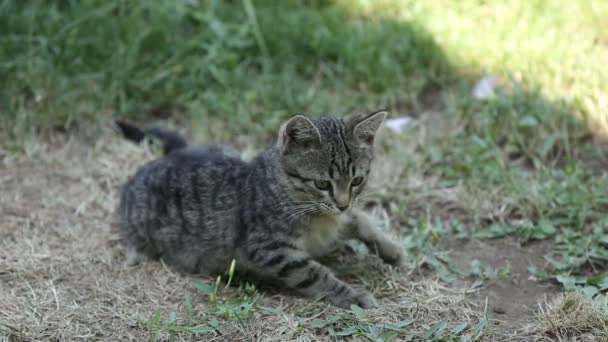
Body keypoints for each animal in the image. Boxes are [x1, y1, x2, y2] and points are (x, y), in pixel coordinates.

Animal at [115, 111, 404, 308]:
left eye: (357, 180)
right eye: (322, 183)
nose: (342, 202)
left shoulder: (340, 217)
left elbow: (361, 220)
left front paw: (391, 248)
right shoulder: (270, 249)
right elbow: (315, 274)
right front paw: (353, 295)